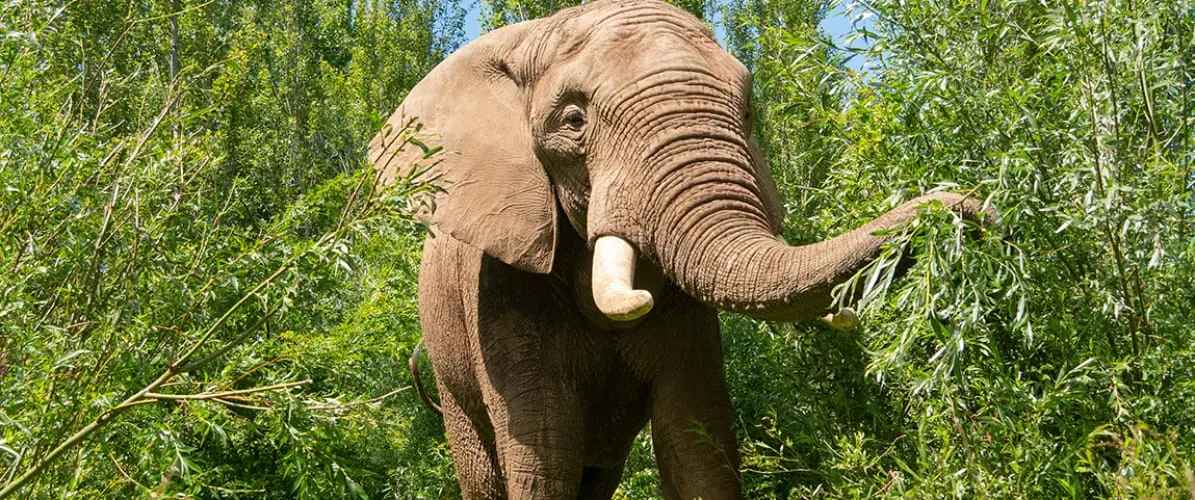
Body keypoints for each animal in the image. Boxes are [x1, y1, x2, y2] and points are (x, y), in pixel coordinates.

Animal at [368, 0, 993, 498]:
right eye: (573, 119)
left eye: (748, 113)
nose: (966, 209)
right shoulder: (497, 283)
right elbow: (545, 451)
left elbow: (695, 438)